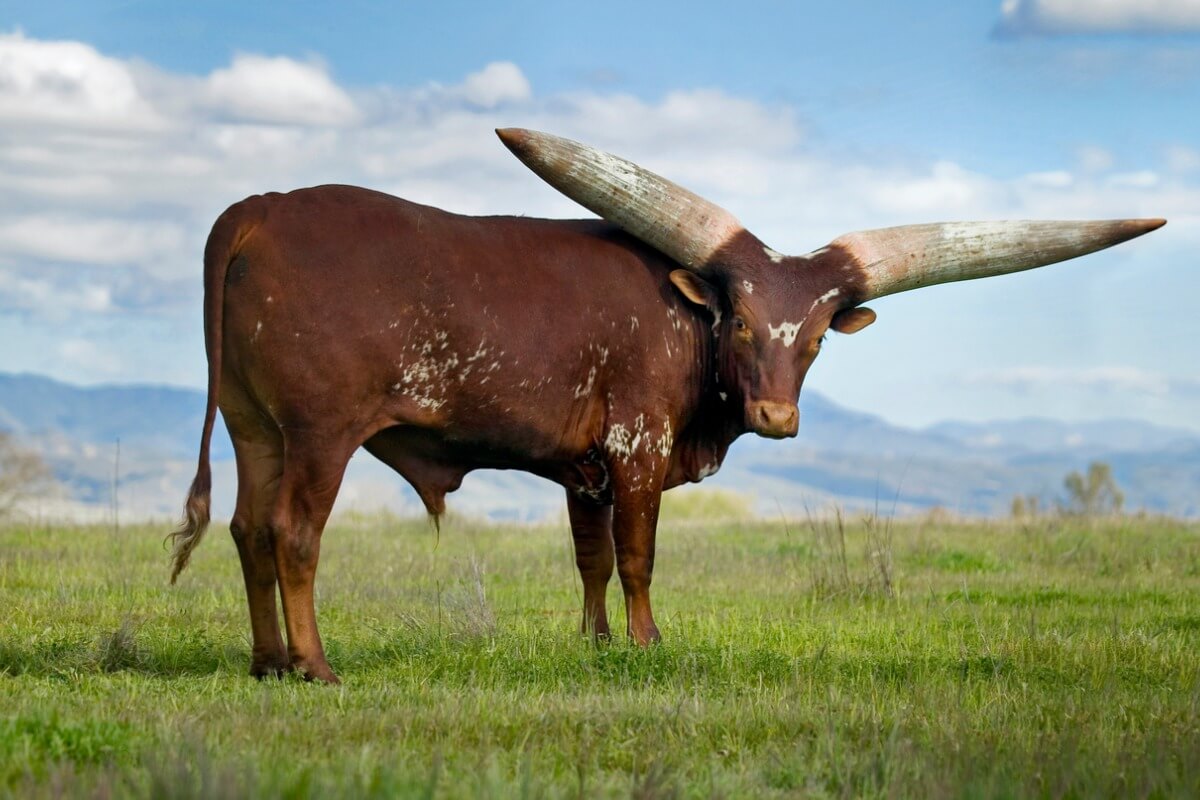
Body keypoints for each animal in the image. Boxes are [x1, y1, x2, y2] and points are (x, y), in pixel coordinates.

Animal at [168, 128, 1163, 683]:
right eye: (742, 318)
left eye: (815, 337)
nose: (778, 420)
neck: (687, 326)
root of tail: (259, 209)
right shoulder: (635, 448)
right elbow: (639, 557)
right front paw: (646, 644)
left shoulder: (581, 469)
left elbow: (590, 560)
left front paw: (596, 644)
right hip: (319, 433)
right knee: (294, 535)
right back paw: (316, 667)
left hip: (256, 430)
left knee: (249, 531)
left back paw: (266, 665)